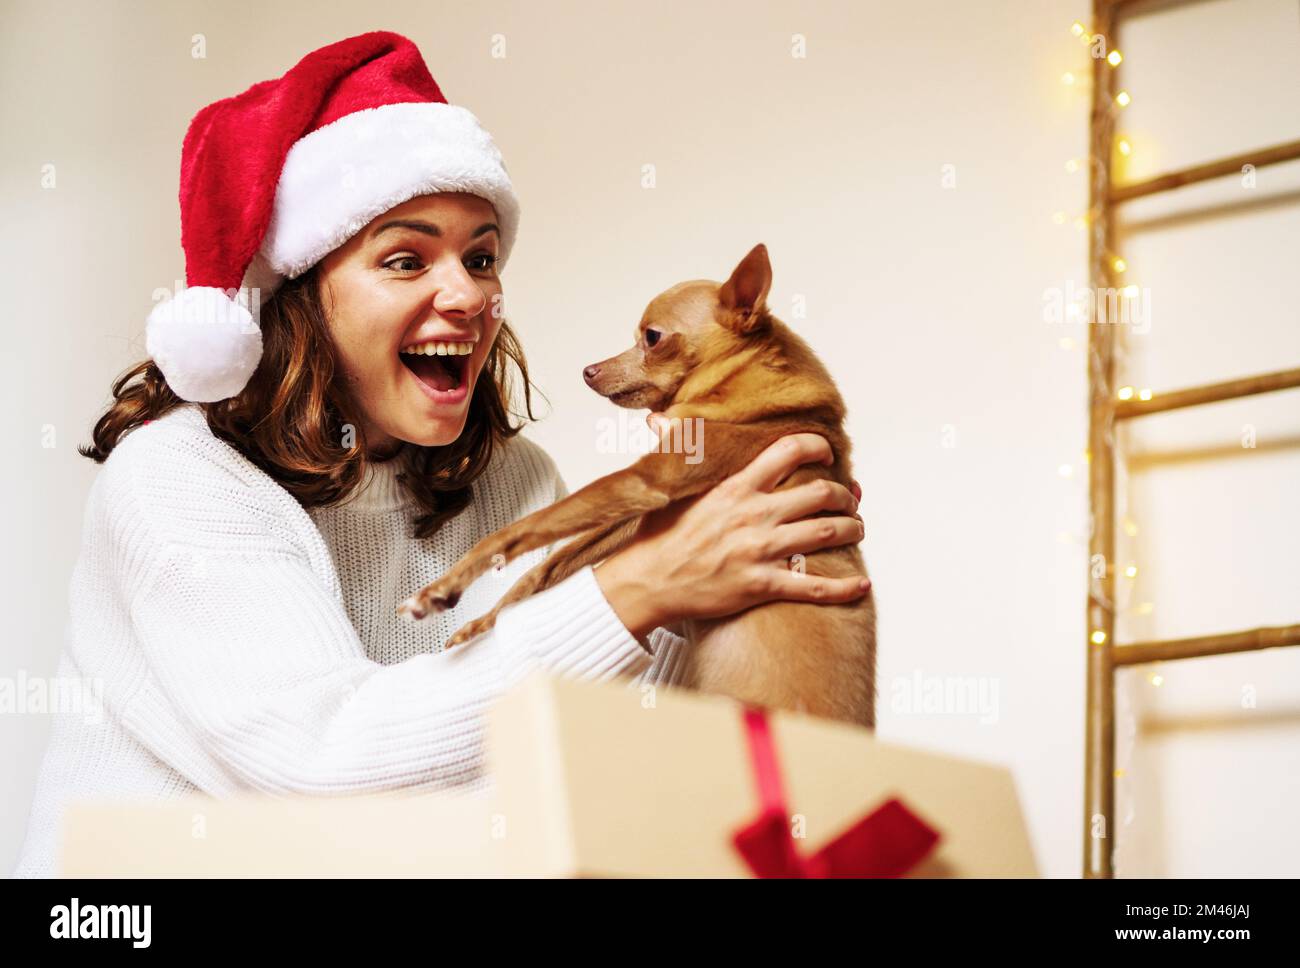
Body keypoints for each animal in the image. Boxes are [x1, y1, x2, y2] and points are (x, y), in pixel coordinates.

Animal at [400, 241, 878, 727]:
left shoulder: (643, 481)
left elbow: (522, 528)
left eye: (651, 337)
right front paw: (481, 624)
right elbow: (550, 563)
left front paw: (442, 588)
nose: (589, 370)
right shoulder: (638, 510)